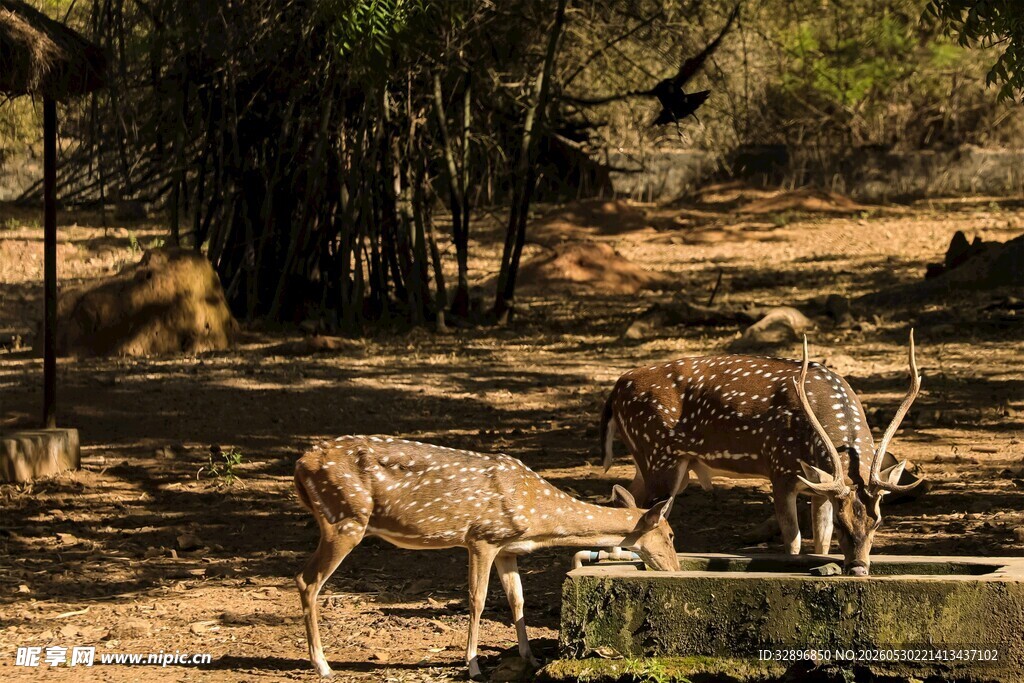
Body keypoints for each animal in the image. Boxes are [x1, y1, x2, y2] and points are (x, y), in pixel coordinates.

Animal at [294, 435, 678, 680]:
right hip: (344, 518)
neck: (539, 518)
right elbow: (477, 599)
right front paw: (474, 666)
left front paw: (530, 657)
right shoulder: (481, 537)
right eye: (672, 535)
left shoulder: (509, 548)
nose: (674, 569)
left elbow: (517, 599)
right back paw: (323, 666)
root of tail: (300, 464)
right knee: (307, 579)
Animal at [600, 332, 922, 576]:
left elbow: (821, 543)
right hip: (659, 456)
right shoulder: (780, 469)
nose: (858, 568)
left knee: (626, 496)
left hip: (652, 463)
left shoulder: (819, 488)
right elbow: (793, 543)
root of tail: (616, 390)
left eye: (878, 521)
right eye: (844, 523)